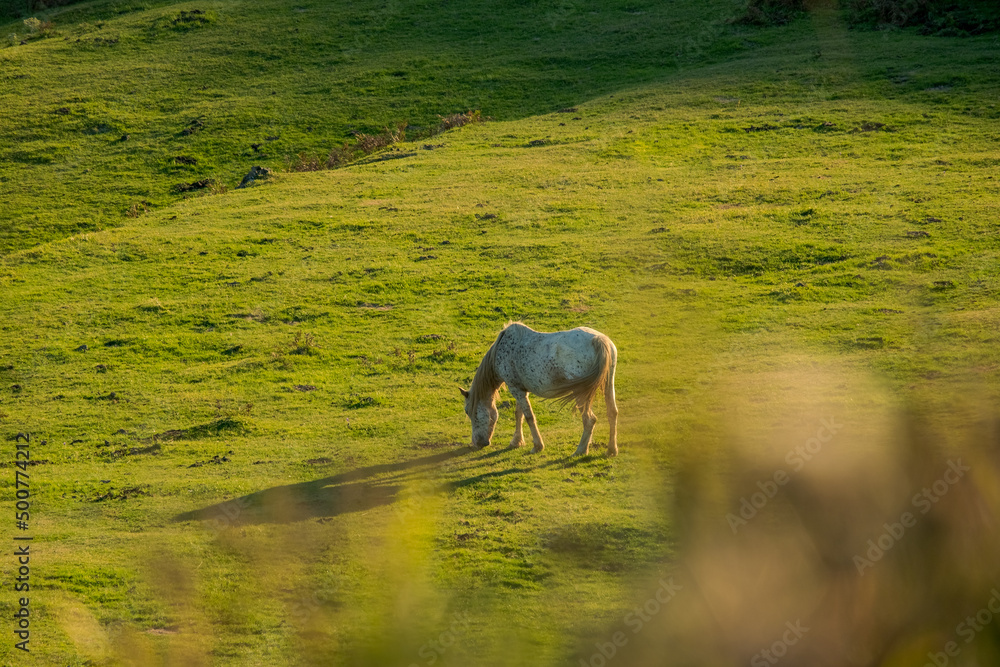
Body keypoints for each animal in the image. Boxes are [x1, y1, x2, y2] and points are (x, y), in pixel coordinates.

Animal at [460, 322, 619, 456]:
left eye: (468, 411)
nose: (477, 443)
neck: (503, 348)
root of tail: (598, 340)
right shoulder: (520, 389)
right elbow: (519, 414)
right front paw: (516, 442)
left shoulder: (515, 389)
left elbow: (529, 417)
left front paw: (537, 446)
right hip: (608, 385)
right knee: (612, 413)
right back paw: (611, 450)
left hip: (580, 393)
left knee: (589, 420)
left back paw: (580, 450)